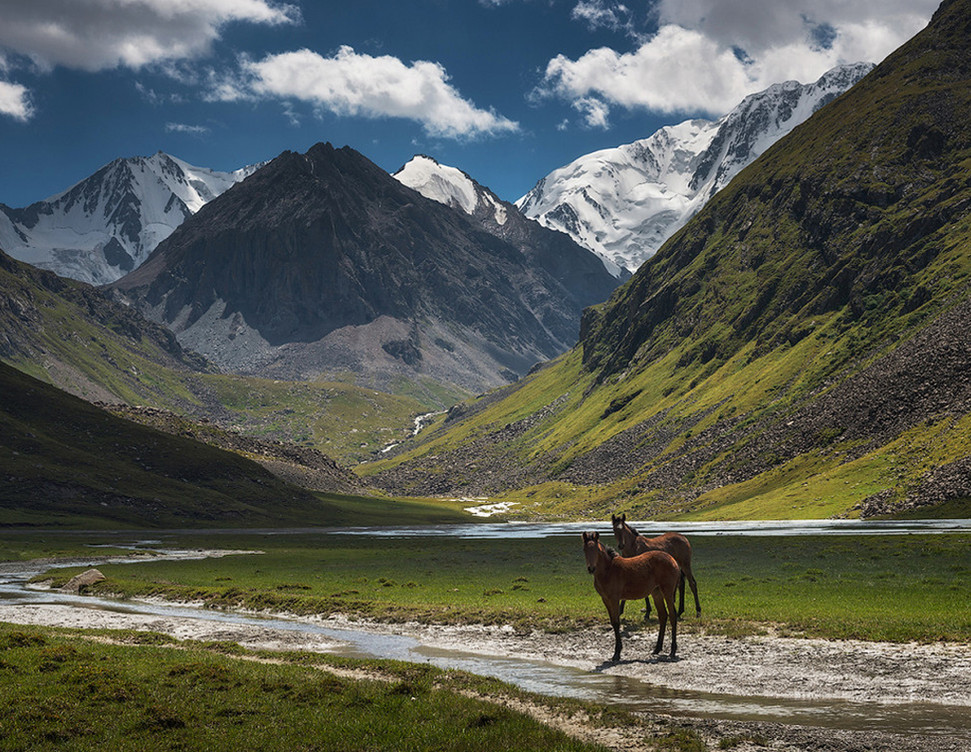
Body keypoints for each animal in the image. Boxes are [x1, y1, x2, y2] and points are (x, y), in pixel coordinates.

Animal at [580, 532, 680, 660]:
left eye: (596, 549)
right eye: (584, 549)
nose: (591, 568)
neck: (608, 570)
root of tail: (673, 560)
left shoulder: (614, 598)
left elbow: (616, 622)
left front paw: (617, 653)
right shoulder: (605, 599)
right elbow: (612, 622)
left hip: (667, 592)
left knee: (672, 615)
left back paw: (672, 651)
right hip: (656, 593)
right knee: (663, 616)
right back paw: (657, 649)